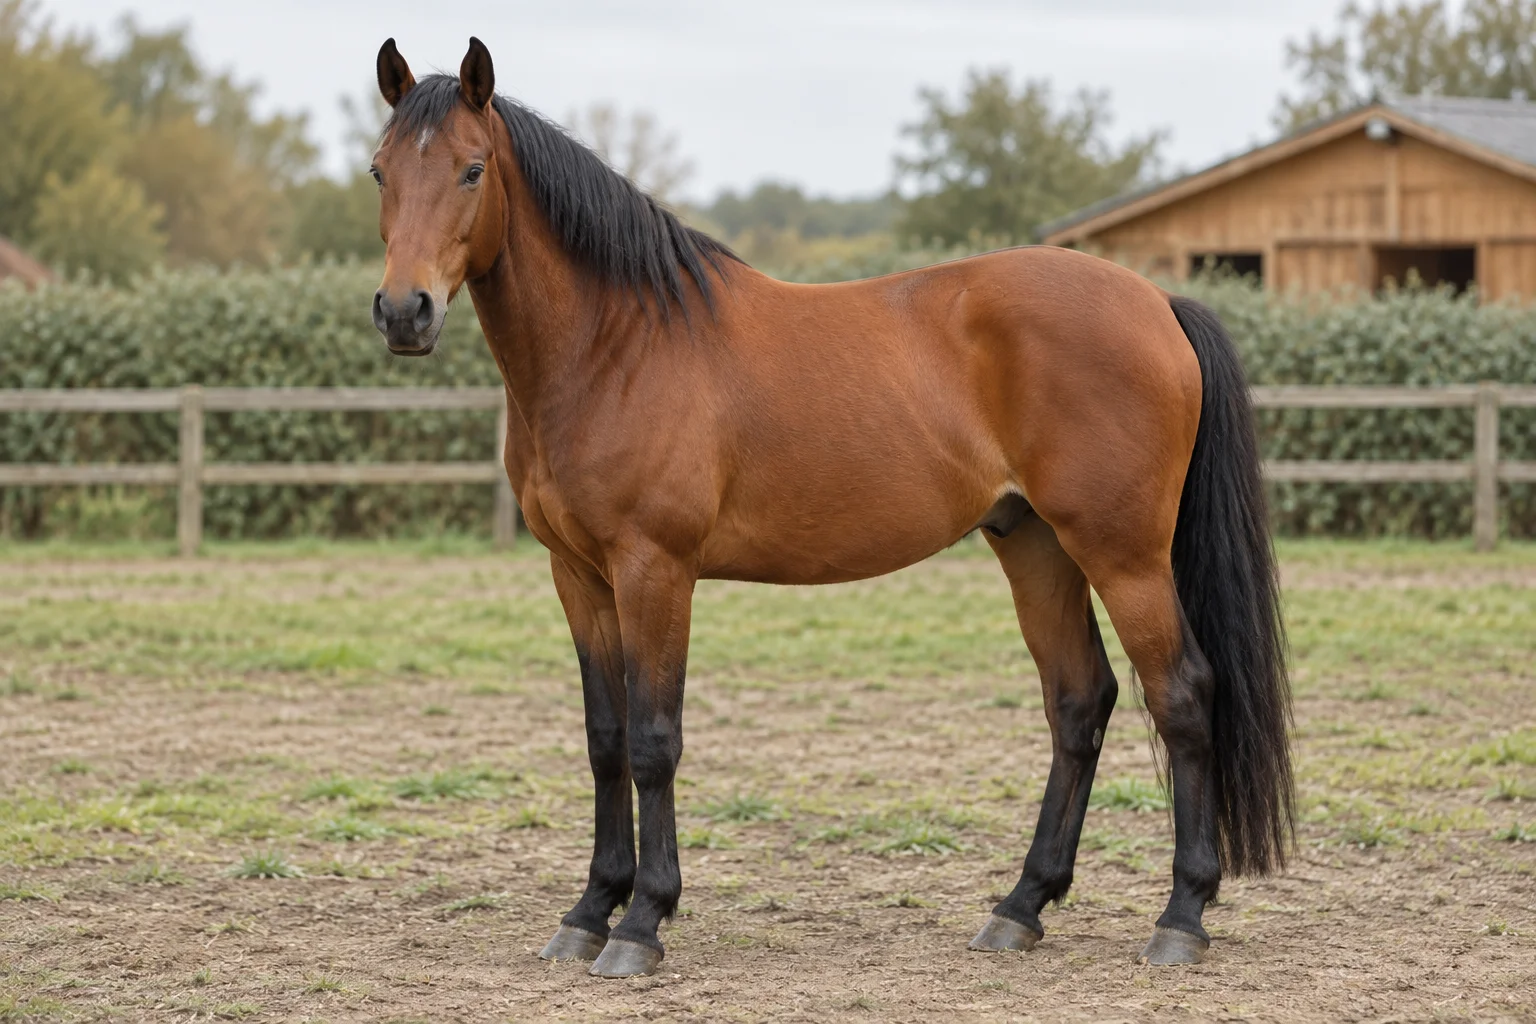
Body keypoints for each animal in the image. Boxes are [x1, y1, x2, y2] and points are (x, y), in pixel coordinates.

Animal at [368, 36, 1293, 979]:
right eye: (379, 173)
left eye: (473, 169)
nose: (405, 312)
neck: (615, 346)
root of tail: (1157, 305)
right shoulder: (579, 576)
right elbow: (605, 740)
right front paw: (590, 911)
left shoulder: (655, 569)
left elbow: (656, 739)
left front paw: (642, 923)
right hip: (1035, 546)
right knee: (1079, 702)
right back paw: (1020, 906)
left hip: (1123, 554)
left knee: (1182, 696)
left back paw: (1180, 917)